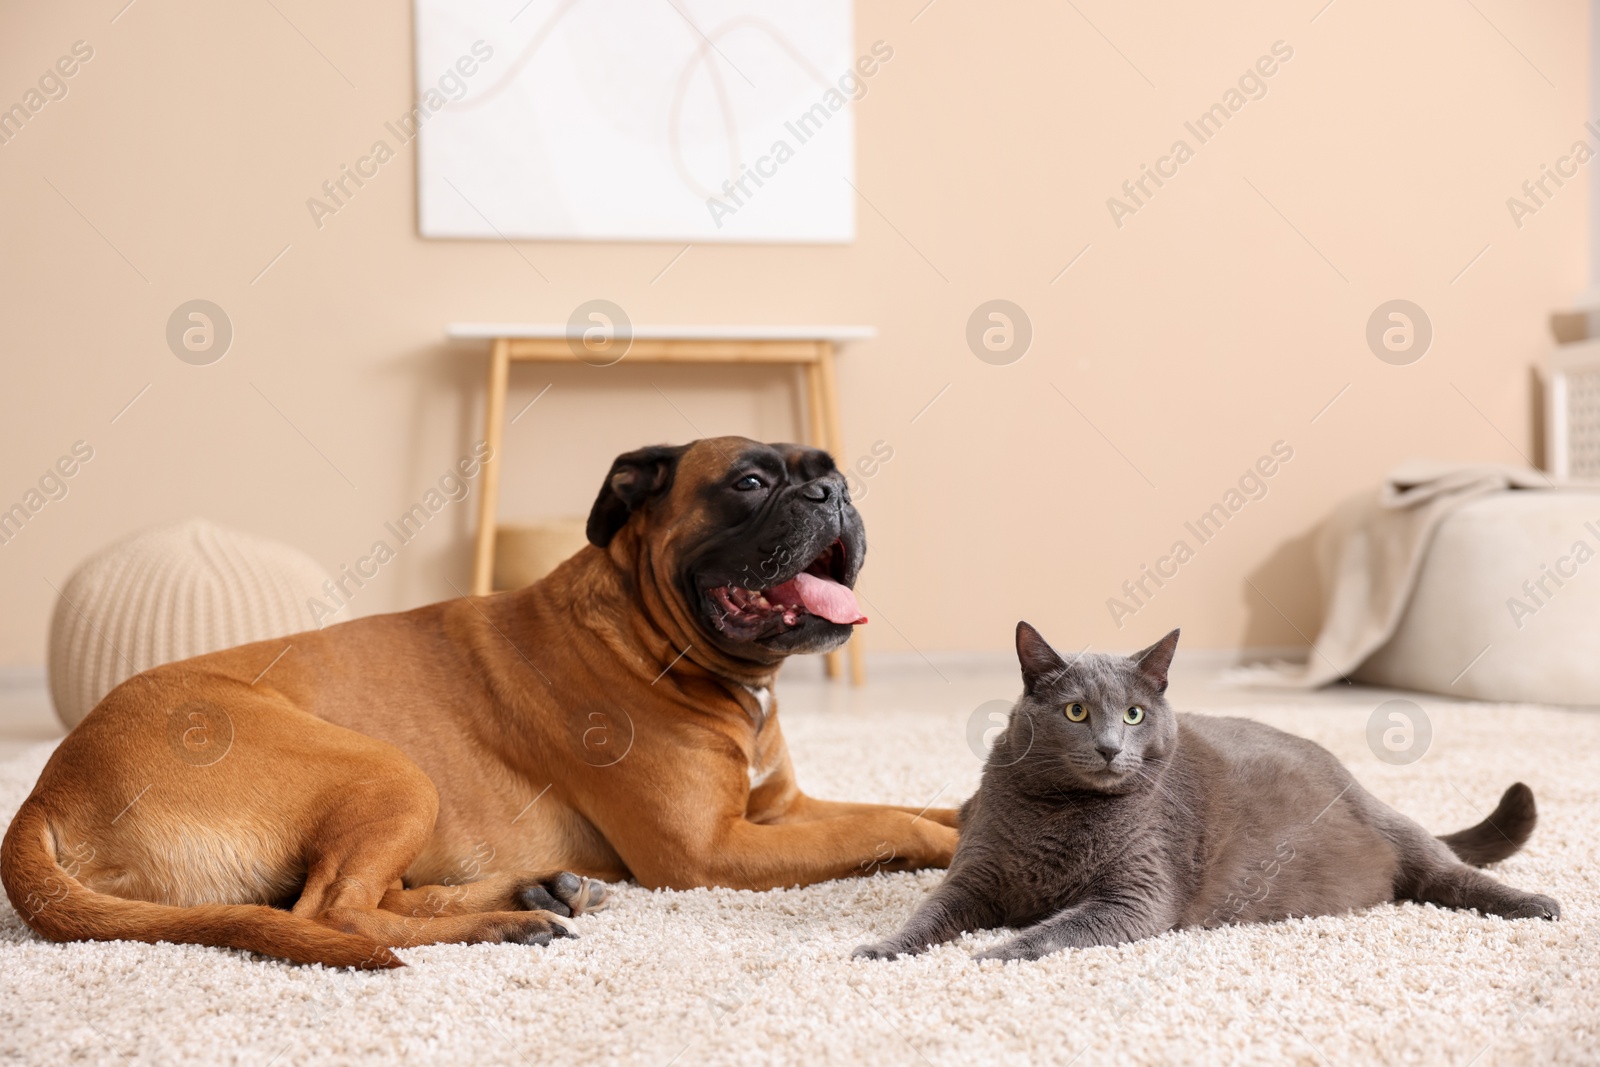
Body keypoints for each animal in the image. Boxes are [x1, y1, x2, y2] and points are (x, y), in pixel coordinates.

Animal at [0, 438, 953, 972]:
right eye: (751, 482)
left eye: (832, 475)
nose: (836, 495)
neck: (652, 632)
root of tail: (50, 788)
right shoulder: (712, 850)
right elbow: (888, 825)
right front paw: (947, 847)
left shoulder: (780, 808)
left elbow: (908, 803)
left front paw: (962, 809)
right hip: (389, 770)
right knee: (333, 912)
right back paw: (506, 923)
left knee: (367, 898)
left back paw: (534, 890)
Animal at [857, 620, 1555, 966]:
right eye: (1077, 711)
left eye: (1134, 714)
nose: (1109, 746)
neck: (1064, 811)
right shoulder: (973, 874)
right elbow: (929, 913)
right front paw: (882, 949)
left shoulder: (1138, 894)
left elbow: (1058, 929)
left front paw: (995, 952)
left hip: (1395, 827)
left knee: (1451, 872)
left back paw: (1539, 904)